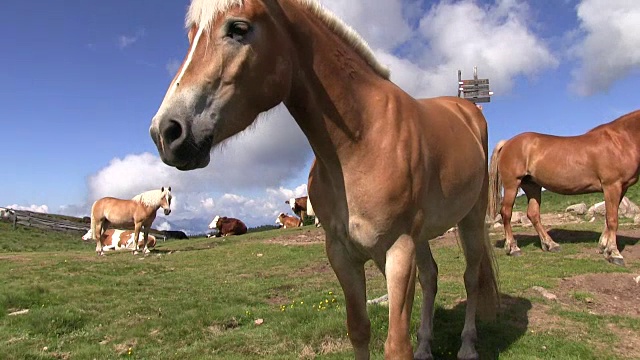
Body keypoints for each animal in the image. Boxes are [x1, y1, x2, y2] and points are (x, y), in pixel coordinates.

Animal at [146, 1, 500, 358]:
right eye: (191, 36)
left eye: (238, 28)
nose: (166, 131)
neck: (362, 140)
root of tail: (467, 110)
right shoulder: (342, 255)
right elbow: (359, 330)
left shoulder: (399, 250)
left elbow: (396, 344)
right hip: (422, 237)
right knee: (431, 277)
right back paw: (425, 347)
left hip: (469, 220)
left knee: (471, 276)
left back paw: (468, 346)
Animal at [490, 110, 640, 268]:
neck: (620, 140)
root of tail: (507, 143)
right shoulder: (611, 186)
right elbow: (612, 220)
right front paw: (615, 254)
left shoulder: (621, 188)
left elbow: (608, 219)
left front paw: (603, 247)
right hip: (512, 185)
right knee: (506, 213)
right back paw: (513, 248)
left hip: (532, 186)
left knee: (533, 214)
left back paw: (551, 244)